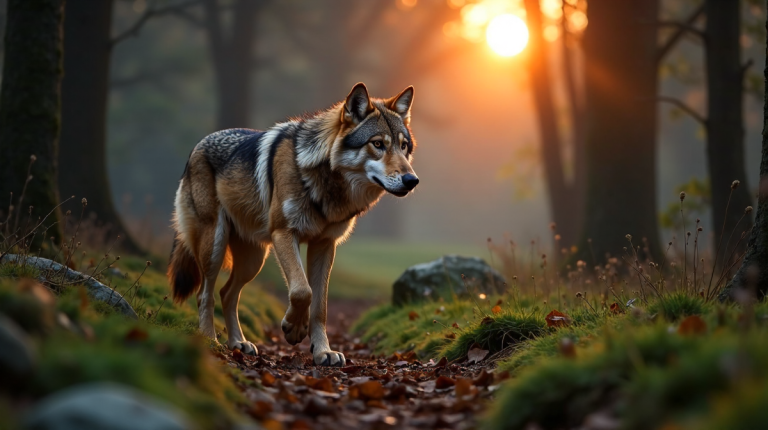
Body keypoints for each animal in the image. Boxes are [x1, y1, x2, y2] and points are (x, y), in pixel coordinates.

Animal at [167, 83, 419, 366]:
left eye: (403, 146)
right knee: (205, 294)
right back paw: (211, 341)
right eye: (377, 144)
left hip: (254, 260)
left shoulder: (325, 245)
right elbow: (301, 290)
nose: (412, 180)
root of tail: (197, 146)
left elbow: (320, 306)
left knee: (227, 293)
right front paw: (293, 329)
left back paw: (239, 343)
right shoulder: (285, 234)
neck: (324, 183)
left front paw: (323, 352)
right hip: (215, 247)